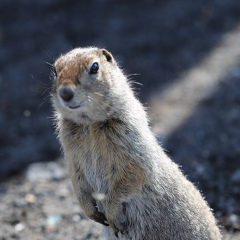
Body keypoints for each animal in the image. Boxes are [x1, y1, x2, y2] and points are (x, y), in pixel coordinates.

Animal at [51, 47, 222, 240]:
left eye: (94, 67)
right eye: (55, 71)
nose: (65, 93)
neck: (89, 124)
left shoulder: (129, 142)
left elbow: (131, 175)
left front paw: (112, 212)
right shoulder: (72, 155)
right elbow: (77, 179)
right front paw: (90, 210)